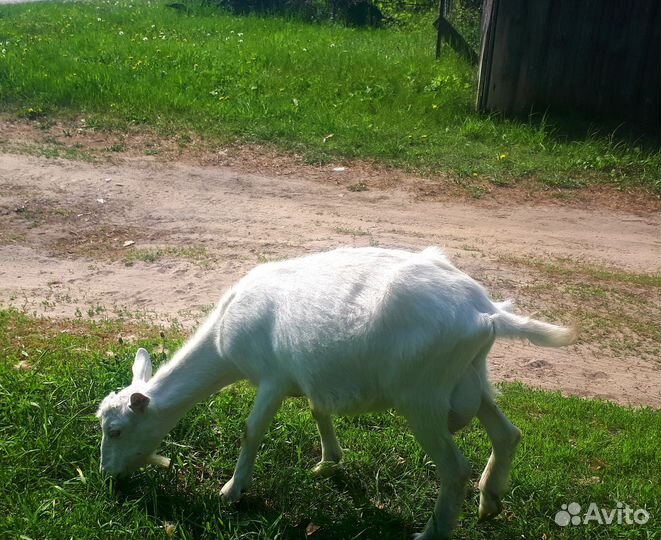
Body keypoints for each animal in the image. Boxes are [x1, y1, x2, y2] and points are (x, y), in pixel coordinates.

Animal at [97, 246, 575, 539]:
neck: (222, 339)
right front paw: (329, 462)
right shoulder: (306, 376)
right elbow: (317, 410)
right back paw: (489, 501)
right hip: (471, 378)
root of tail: (486, 313)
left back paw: (431, 531)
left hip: (421, 395)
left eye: (116, 431)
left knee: (455, 467)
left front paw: (231, 491)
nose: (106, 475)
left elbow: (251, 431)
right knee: (507, 433)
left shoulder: (271, 379)